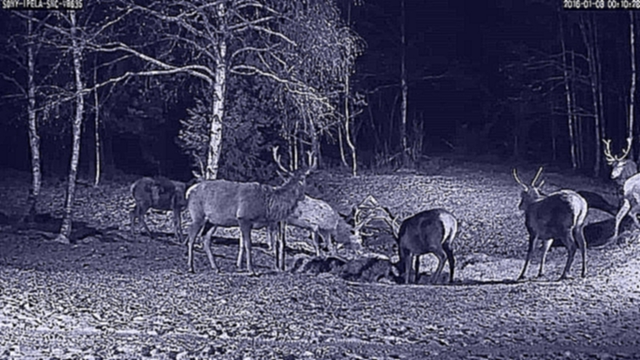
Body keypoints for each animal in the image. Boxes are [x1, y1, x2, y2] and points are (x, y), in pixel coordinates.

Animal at [185, 148, 316, 274]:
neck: (267, 205)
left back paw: (216, 268)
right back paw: (191, 267)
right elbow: (248, 244)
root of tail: (189, 191)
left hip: (213, 221)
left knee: (205, 239)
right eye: (302, 180)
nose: (303, 197)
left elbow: (251, 243)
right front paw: (251, 270)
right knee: (191, 237)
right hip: (197, 214)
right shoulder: (244, 217)